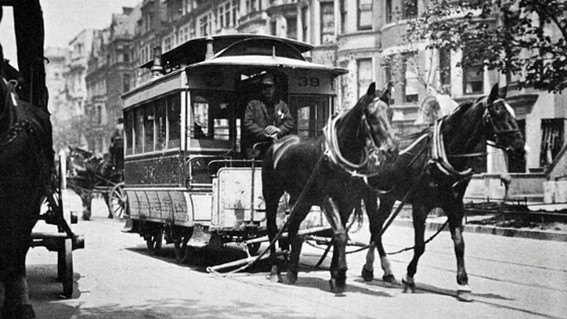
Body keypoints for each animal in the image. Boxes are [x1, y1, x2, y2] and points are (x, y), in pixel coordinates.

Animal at [262, 83, 400, 296]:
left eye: (391, 114)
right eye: (371, 115)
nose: (392, 150)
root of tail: (277, 144)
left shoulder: (348, 202)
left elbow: (340, 235)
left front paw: (336, 276)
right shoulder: (328, 200)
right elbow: (341, 235)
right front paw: (340, 274)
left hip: (302, 199)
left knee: (293, 228)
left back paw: (292, 271)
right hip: (272, 194)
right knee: (272, 228)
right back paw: (275, 269)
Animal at [362, 83, 524, 302]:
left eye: (512, 111)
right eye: (498, 112)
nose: (520, 148)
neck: (444, 153)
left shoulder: (455, 205)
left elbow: (459, 244)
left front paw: (463, 284)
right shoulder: (420, 206)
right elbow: (420, 245)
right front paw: (409, 278)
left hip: (388, 197)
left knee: (377, 227)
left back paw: (384, 272)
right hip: (370, 195)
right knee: (375, 228)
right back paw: (372, 269)